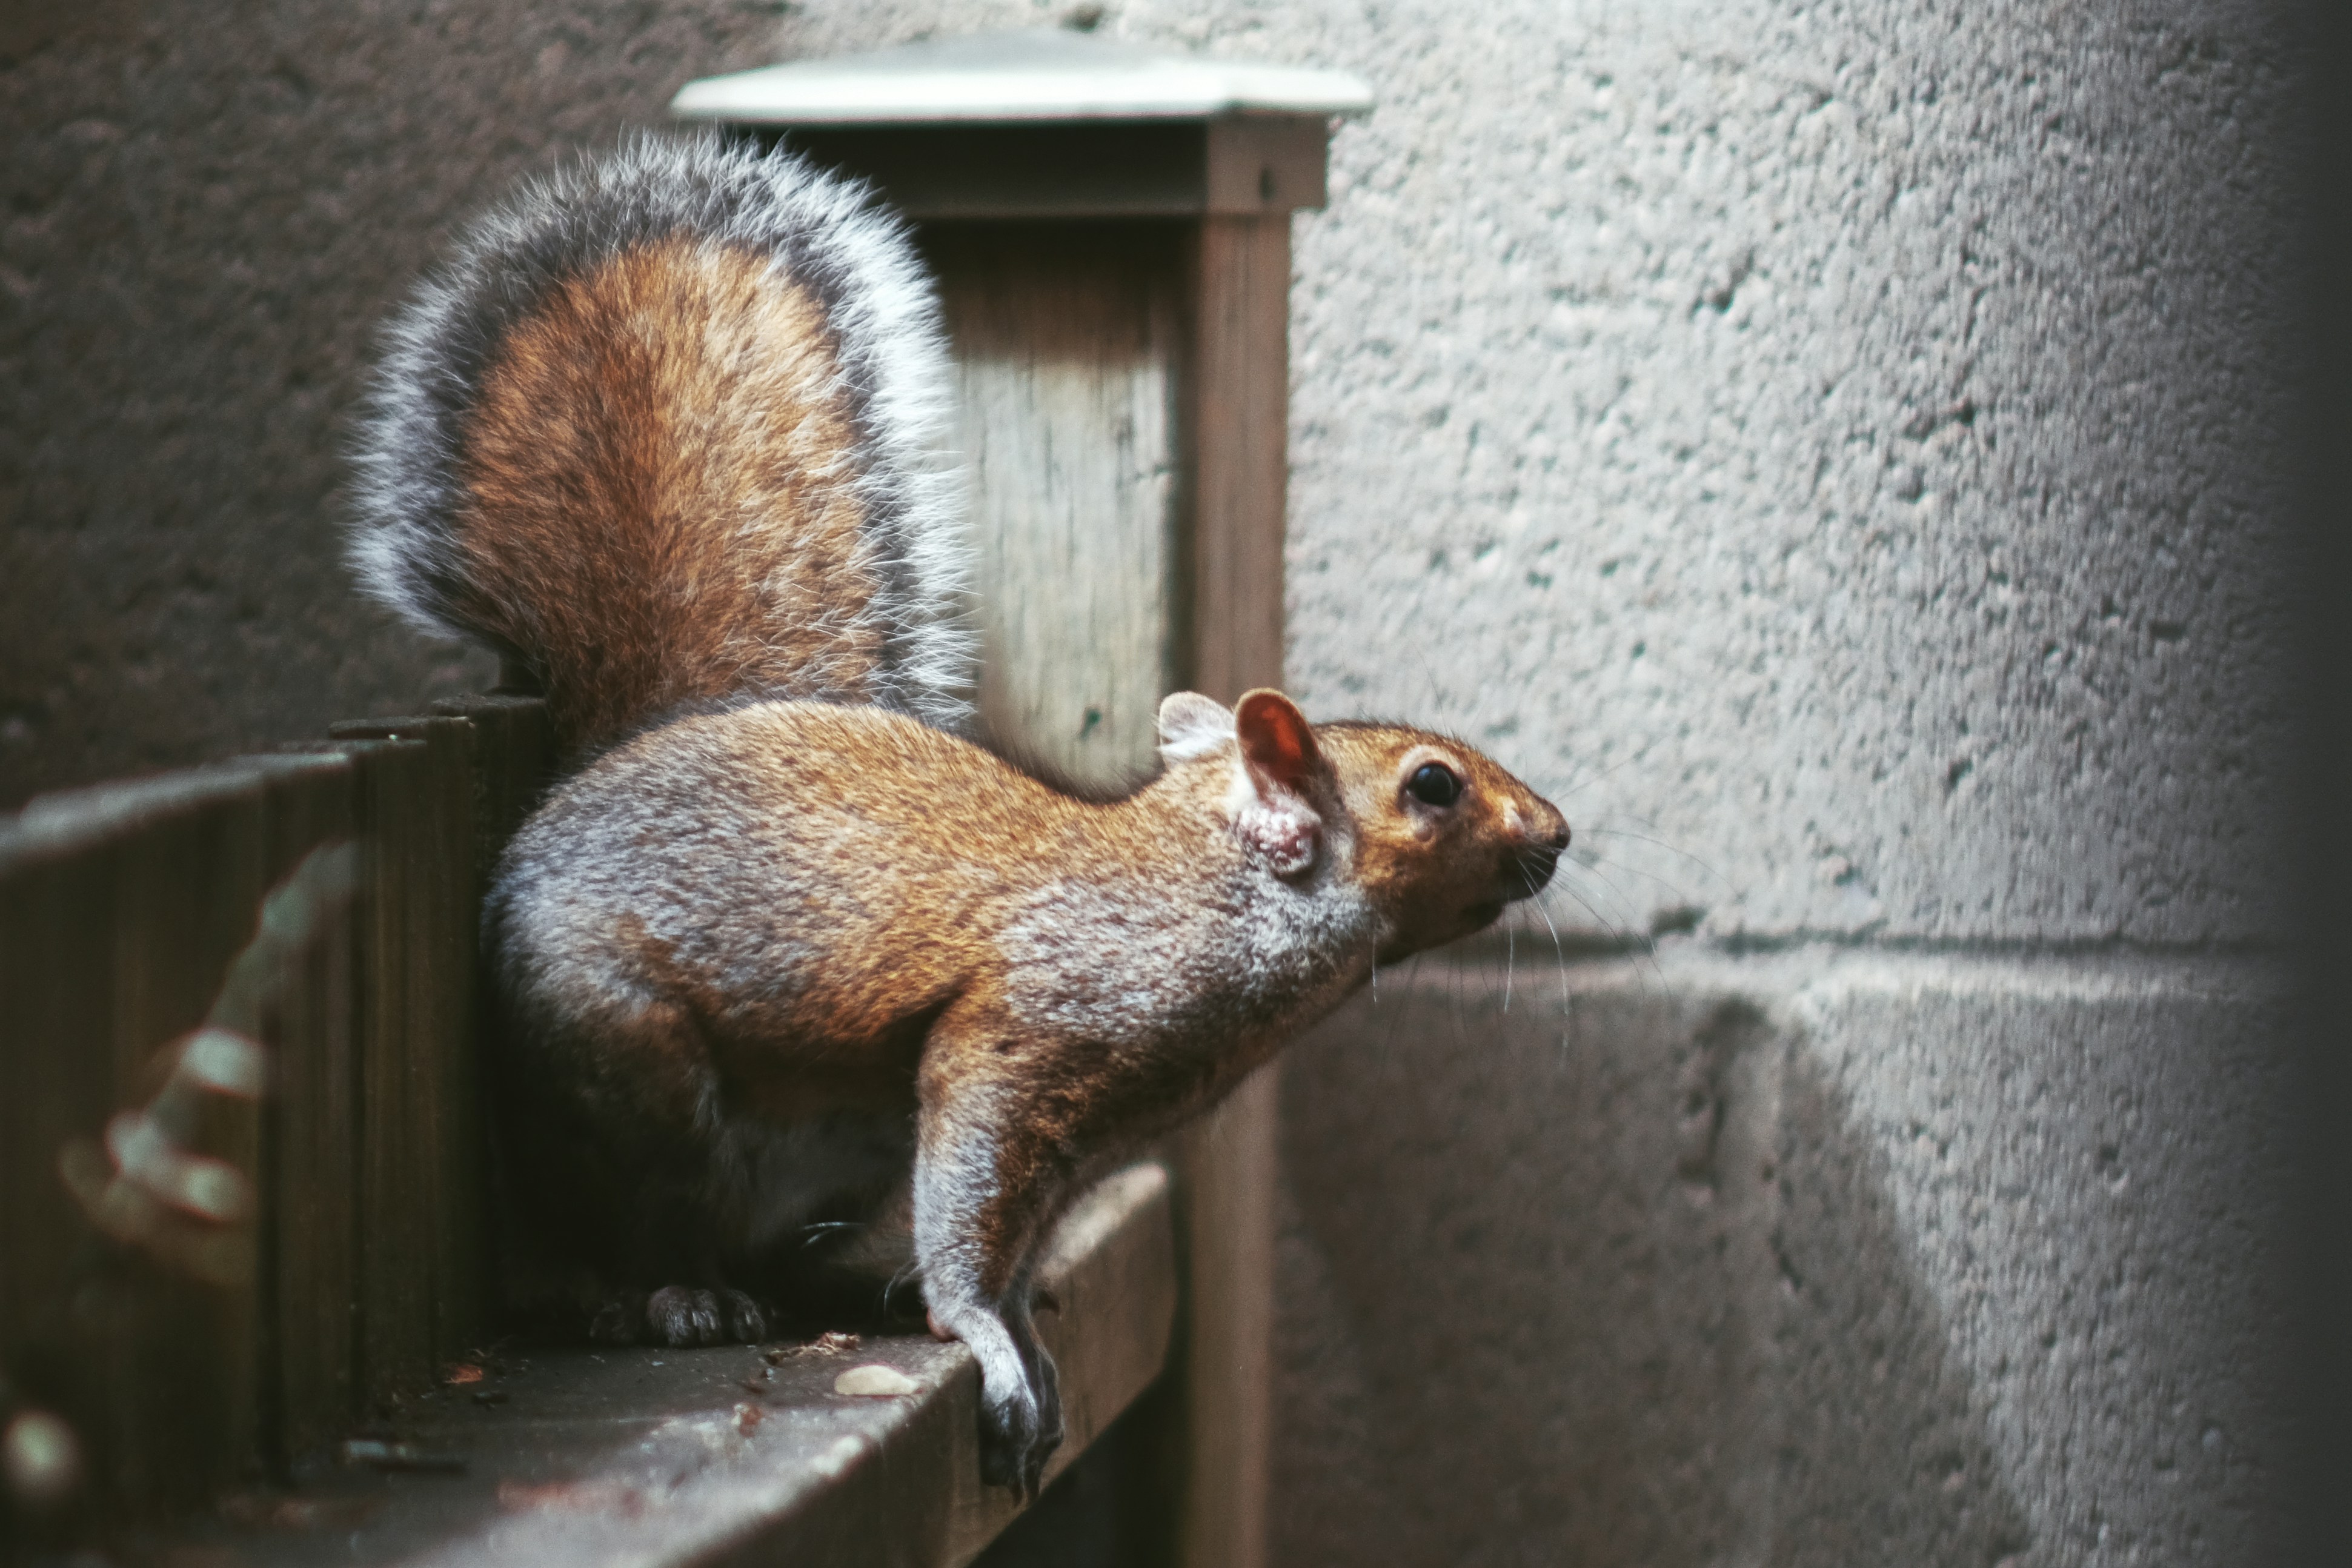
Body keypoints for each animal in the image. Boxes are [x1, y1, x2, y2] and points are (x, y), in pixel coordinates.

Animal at [349, 136, 1568, 1496]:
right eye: (1432, 786)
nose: (1557, 833)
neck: (1201, 897)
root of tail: (577, 783)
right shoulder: (1022, 1035)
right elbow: (973, 1206)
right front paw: (983, 1330)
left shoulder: (1088, 1134)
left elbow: (1021, 1237)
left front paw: (1024, 1323)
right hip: (627, 1065)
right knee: (621, 1224)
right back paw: (668, 1294)